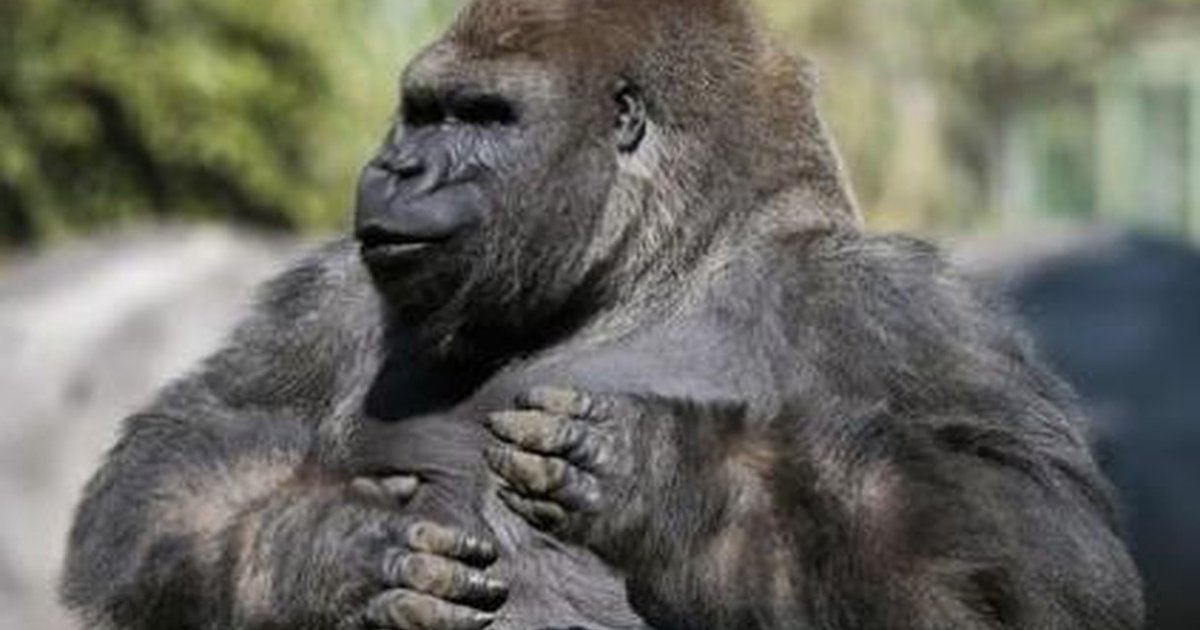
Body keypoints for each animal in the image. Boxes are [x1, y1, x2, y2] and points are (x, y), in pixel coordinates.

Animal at [62, 0, 1144, 629]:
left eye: (482, 117)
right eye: (421, 112)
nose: (396, 166)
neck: (646, 272)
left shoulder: (889, 302)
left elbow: (1037, 558)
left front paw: (678, 481)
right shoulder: (334, 291)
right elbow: (172, 459)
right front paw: (329, 553)